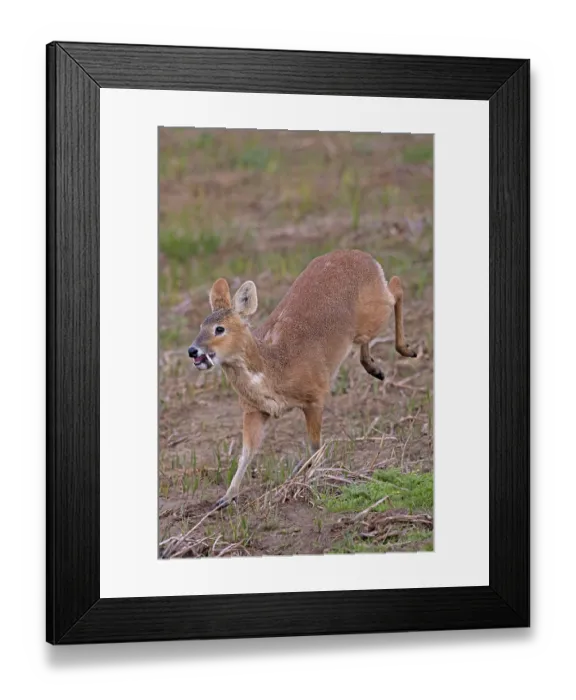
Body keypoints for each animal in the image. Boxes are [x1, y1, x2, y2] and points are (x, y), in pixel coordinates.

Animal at [187, 249, 417, 510]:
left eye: (219, 329)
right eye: (201, 325)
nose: (193, 351)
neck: (274, 369)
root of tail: (365, 257)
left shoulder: (315, 395)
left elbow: (316, 446)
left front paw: (309, 479)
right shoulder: (254, 409)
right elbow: (246, 453)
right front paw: (226, 497)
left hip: (374, 309)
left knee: (396, 287)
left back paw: (406, 350)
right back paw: (374, 367)